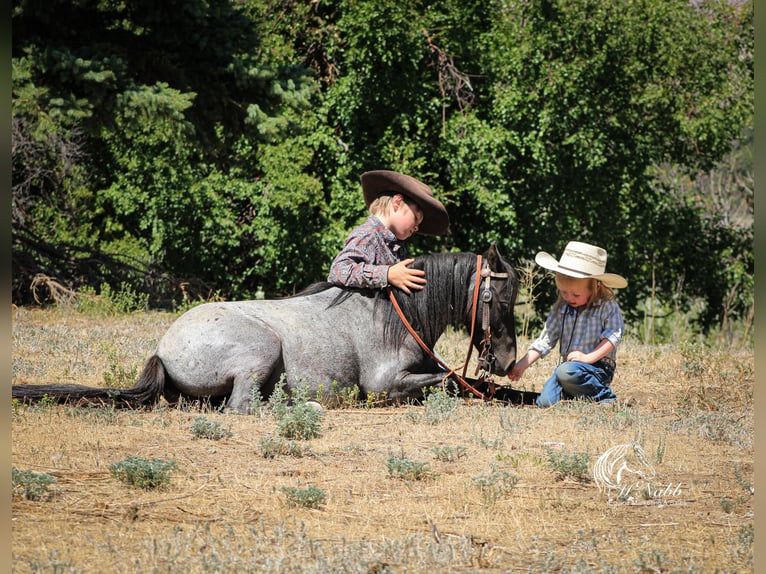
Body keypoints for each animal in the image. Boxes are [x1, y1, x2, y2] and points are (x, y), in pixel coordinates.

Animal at [12, 243, 528, 414]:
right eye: (501, 299)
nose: (507, 360)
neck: (396, 313)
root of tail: (163, 347)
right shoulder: (385, 386)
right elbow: (449, 383)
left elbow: (473, 385)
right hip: (261, 352)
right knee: (243, 407)